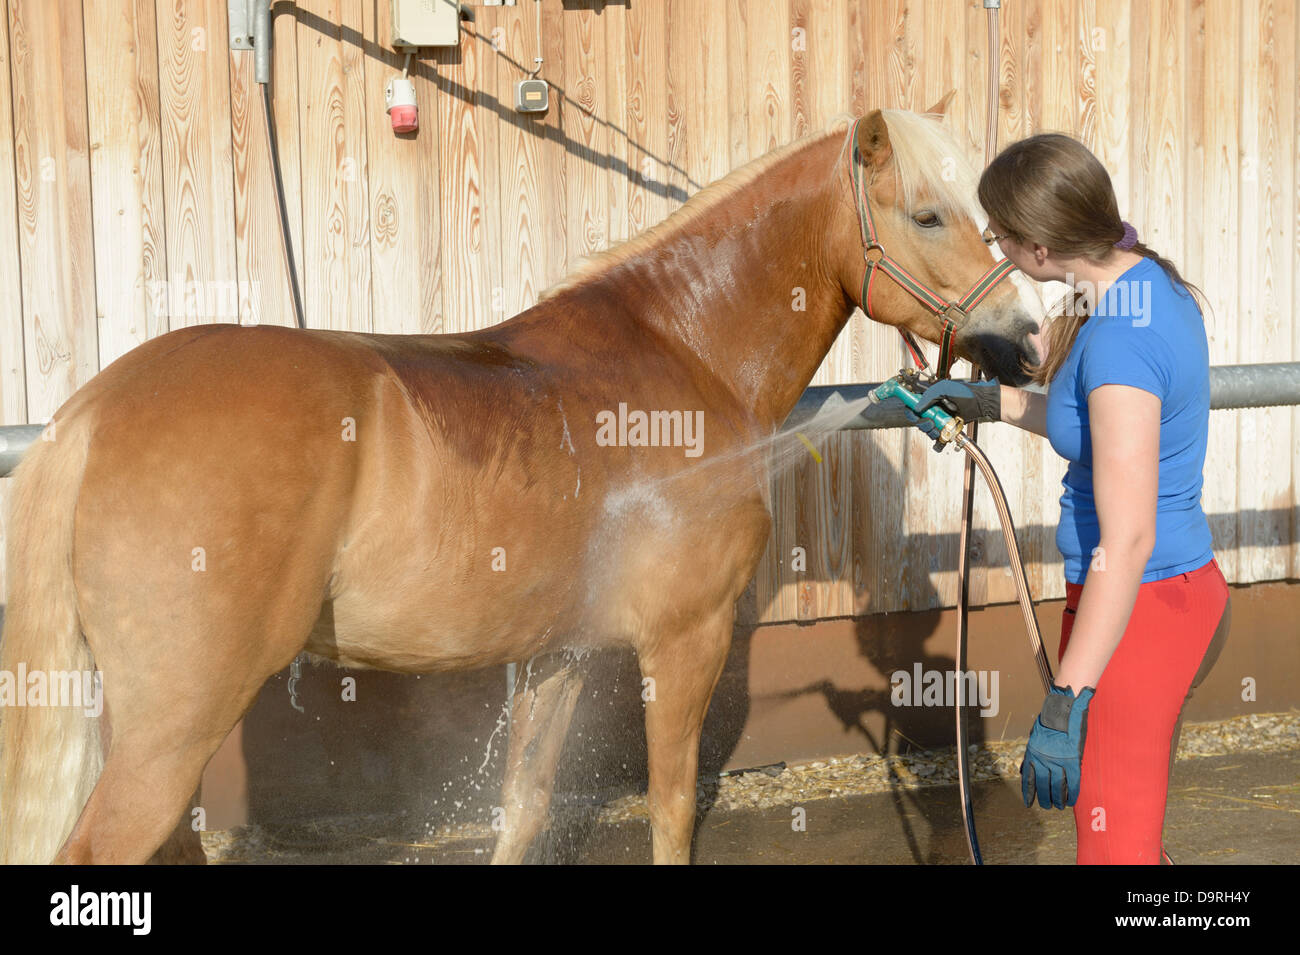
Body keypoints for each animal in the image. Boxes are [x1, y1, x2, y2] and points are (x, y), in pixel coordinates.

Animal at [0, 91, 1034, 867]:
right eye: (928, 214)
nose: (1023, 339)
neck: (682, 351)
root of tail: (90, 414)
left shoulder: (557, 653)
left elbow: (526, 802)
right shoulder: (684, 641)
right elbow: (669, 810)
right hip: (175, 722)